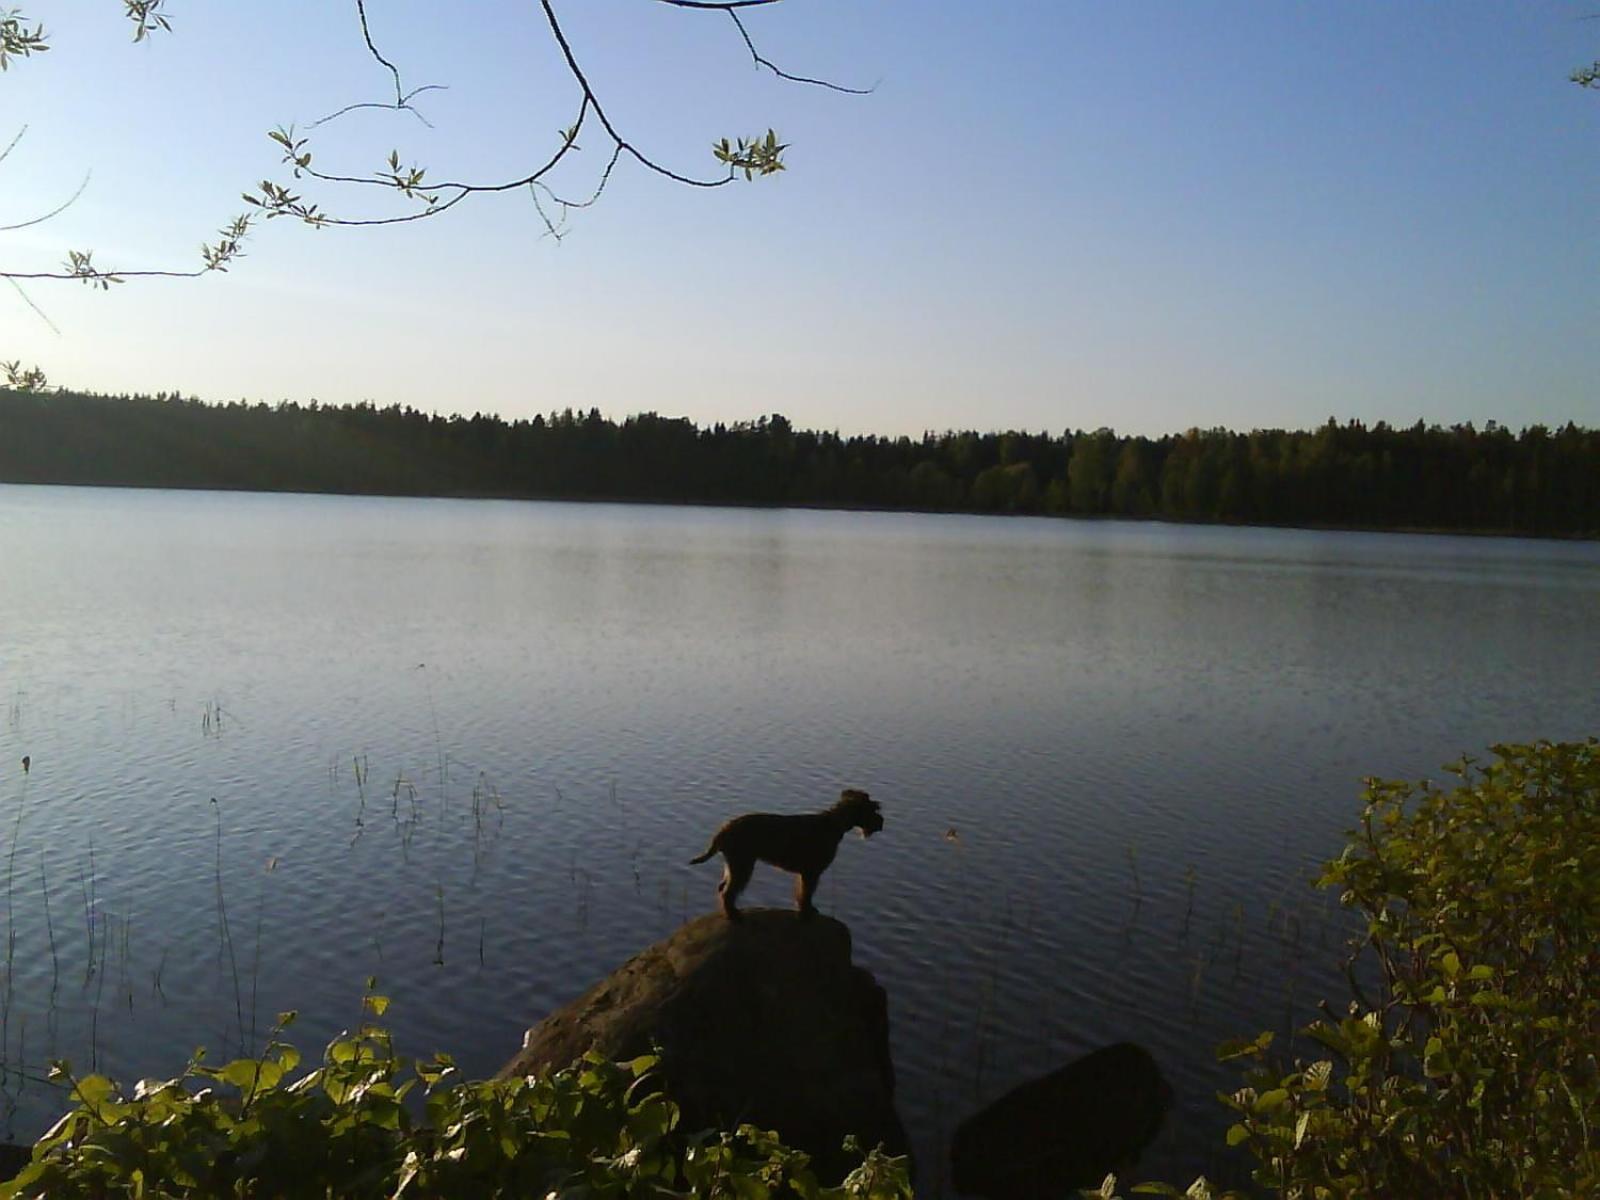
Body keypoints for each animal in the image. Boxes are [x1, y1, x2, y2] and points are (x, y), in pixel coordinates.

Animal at [688, 790, 889, 921]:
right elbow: (806, 893)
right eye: (873, 809)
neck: (833, 824)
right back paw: (733, 915)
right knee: (728, 892)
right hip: (742, 865)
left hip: (734, 865)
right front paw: (807, 911)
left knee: (722, 888)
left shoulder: (806, 873)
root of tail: (723, 829)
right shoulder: (811, 872)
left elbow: (802, 892)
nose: (881, 822)